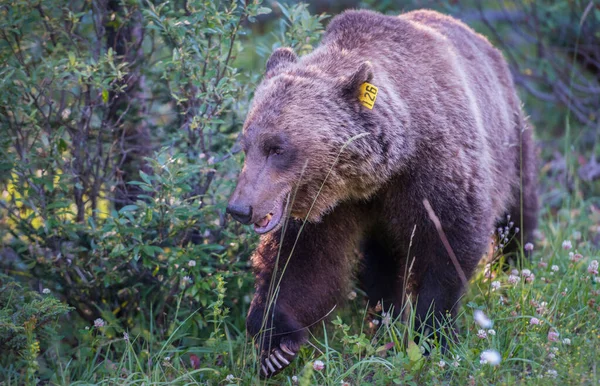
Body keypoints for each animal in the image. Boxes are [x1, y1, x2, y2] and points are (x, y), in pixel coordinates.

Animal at [226, 8, 540, 376]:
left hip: (512, 139)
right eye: (246, 145)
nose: (239, 208)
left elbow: (447, 246)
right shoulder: (330, 207)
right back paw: (383, 316)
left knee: (519, 212)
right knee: (382, 258)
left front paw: (432, 336)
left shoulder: (435, 172)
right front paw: (276, 346)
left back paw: (515, 267)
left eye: (277, 148)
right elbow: (301, 264)